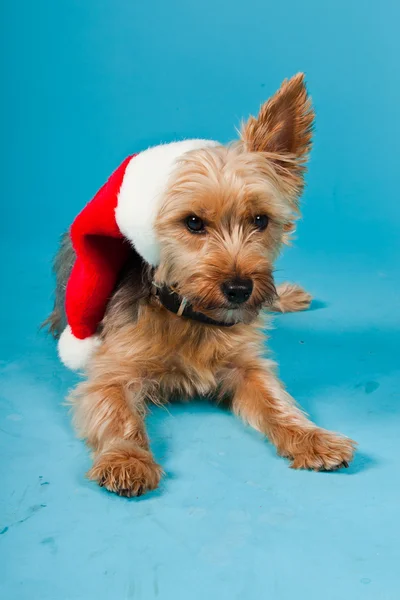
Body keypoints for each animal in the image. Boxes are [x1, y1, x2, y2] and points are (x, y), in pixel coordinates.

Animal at [46, 74, 356, 496]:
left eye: (260, 220)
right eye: (193, 222)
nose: (240, 289)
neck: (193, 316)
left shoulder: (247, 364)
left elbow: (276, 401)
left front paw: (312, 438)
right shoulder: (112, 372)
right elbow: (117, 412)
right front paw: (127, 459)